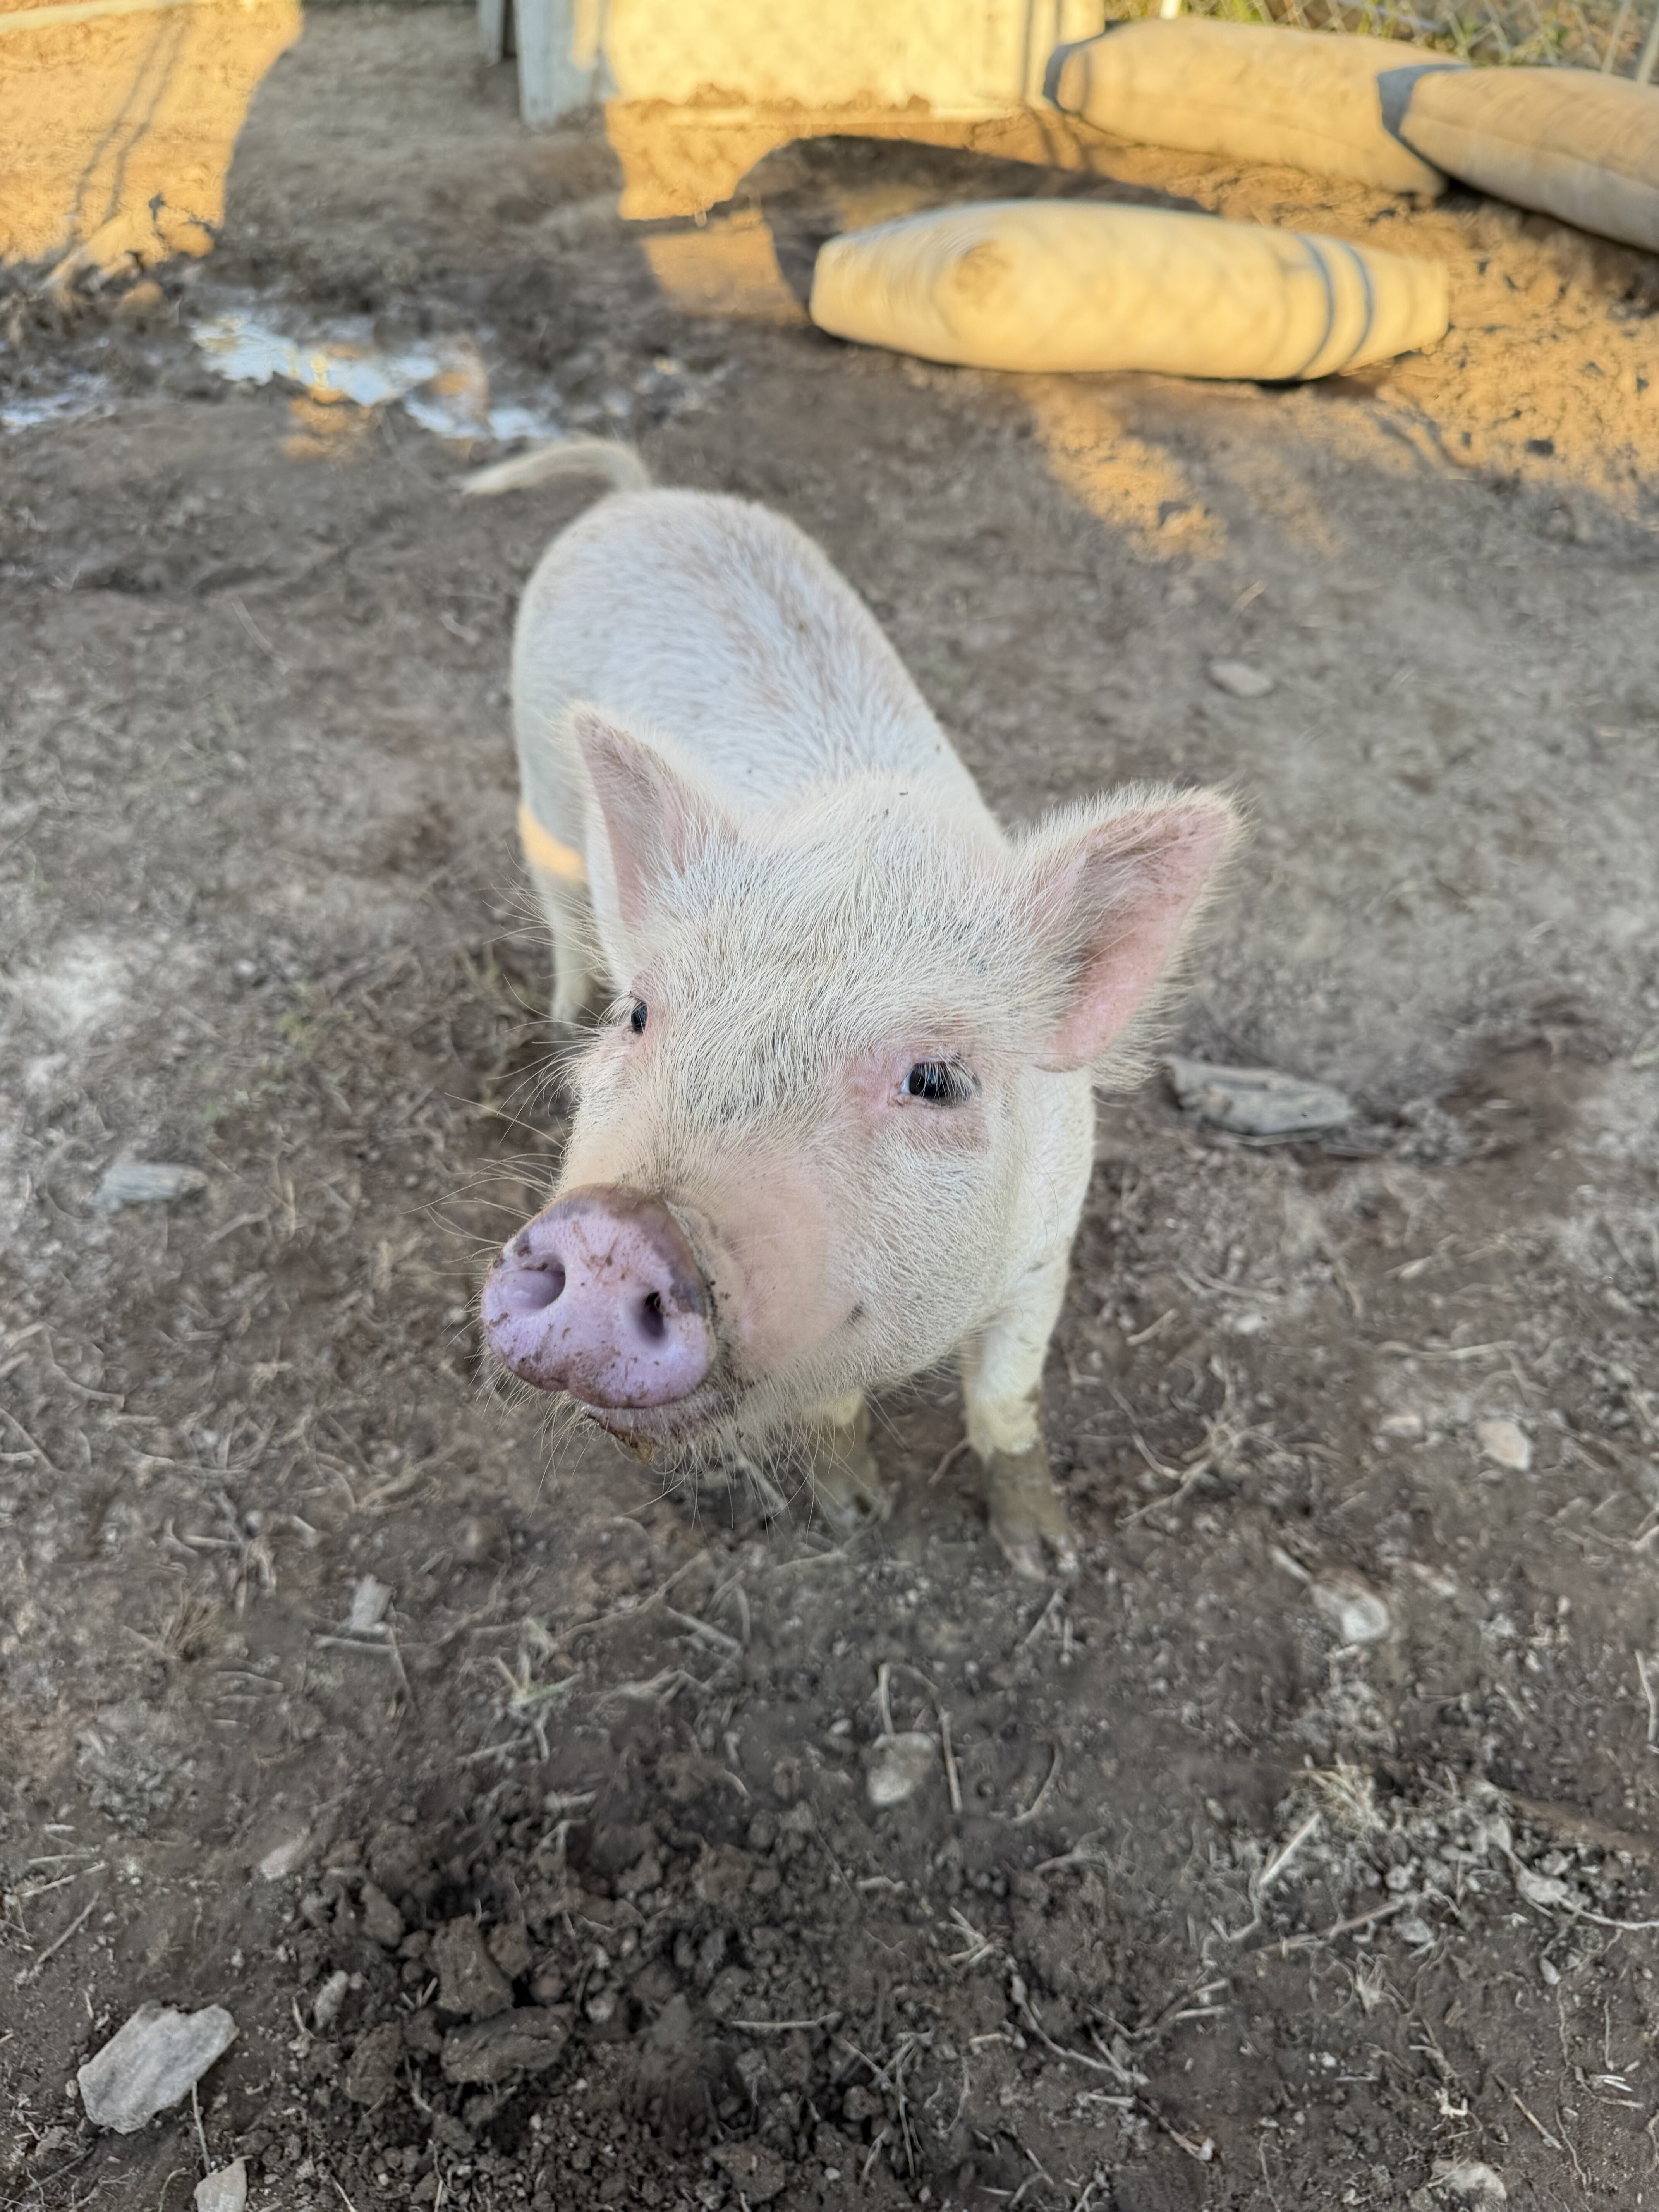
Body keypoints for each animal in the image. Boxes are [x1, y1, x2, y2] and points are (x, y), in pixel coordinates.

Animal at [465, 440, 1238, 1577]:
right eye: (644, 1016)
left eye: (936, 1079)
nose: (617, 1230)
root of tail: (640, 494)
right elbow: (833, 1410)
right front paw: (853, 1516)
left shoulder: (1047, 1250)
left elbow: (1006, 1398)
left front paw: (1045, 1555)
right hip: (539, 783)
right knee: (558, 897)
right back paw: (558, 1015)